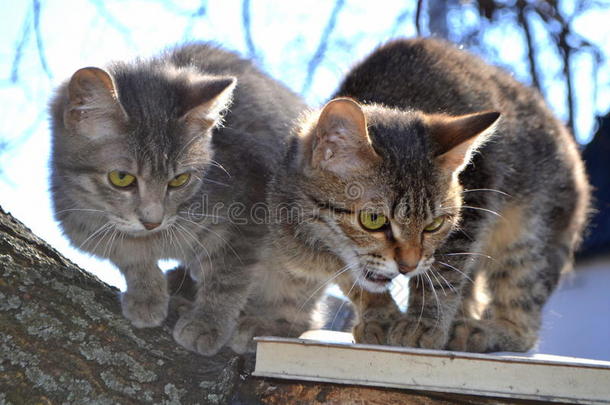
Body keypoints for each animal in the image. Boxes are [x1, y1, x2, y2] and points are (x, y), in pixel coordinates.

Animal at [48, 43, 304, 354]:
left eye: (179, 180)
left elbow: (228, 276)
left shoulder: (251, 208)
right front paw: (146, 293)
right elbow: (127, 253)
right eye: (121, 178)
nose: (152, 221)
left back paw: (262, 326)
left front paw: (208, 321)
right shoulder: (82, 226)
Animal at [268, 38, 588, 354]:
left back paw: (489, 330)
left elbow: (443, 275)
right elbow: (357, 276)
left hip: (531, 234)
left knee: (525, 319)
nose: (407, 267)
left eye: (434, 225)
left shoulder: (475, 202)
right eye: (373, 220)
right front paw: (380, 316)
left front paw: (422, 324)